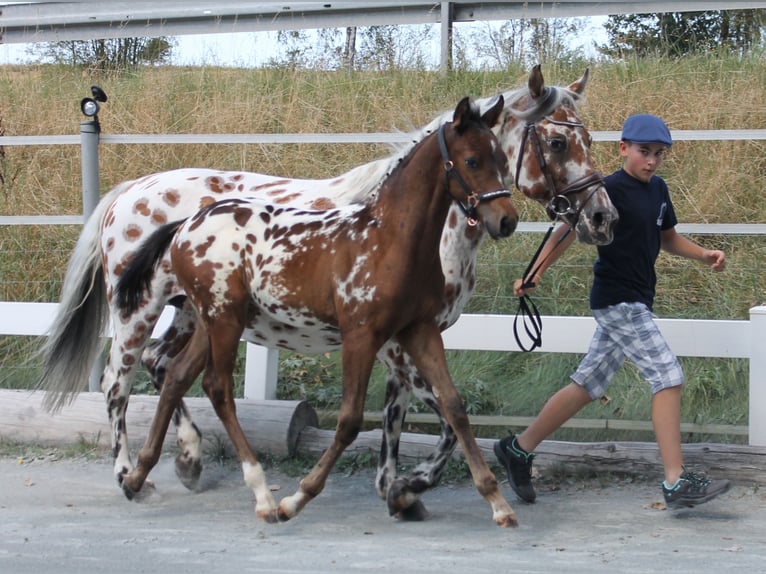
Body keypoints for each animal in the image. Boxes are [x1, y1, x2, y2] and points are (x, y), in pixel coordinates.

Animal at [36, 65, 620, 524]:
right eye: (557, 142)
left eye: (588, 138)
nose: (601, 216)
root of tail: (127, 192)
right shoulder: (389, 340)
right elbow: (423, 419)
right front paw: (403, 487)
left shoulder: (409, 333)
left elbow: (409, 415)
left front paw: (399, 490)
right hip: (140, 312)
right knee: (118, 384)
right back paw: (132, 474)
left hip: (195, 314)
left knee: (166, 370)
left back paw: (187, 460)